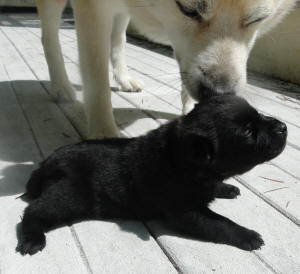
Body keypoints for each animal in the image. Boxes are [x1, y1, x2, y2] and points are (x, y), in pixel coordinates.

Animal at [15, 94, 286, 255]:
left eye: (258, 115)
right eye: (249, 132)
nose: (283, 126)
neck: (178, 158)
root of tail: (47, 162)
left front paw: (226, 188)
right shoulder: (186, 212)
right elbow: (219, 222)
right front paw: (247, 235)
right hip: (70, 195)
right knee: (34, 211)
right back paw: (32, 238)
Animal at [35, 0, 296, 137]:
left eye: (257, 19)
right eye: (188, 9)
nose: (218, 93)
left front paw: (192, 108)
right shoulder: (94, 9)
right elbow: (97, 85)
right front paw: (103, 136)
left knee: (118, 37)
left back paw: (124, 79)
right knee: (48, 38)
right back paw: (60, 86)